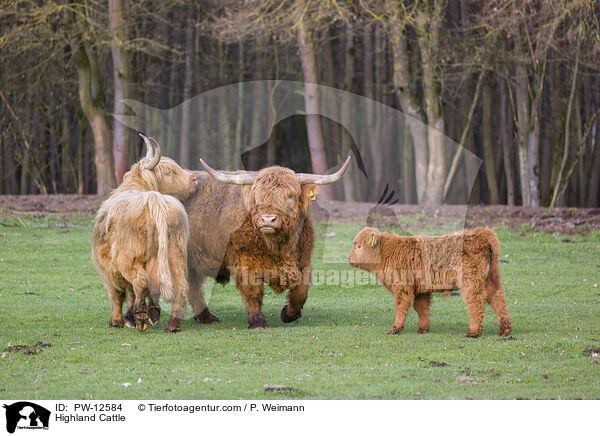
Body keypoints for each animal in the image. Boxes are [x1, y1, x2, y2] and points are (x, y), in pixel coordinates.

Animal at [91, 135, 198, 332]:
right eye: (169, 172)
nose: (194, 180)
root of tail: (153, 198)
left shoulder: (107, 268)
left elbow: (119, 294)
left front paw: (118, 320)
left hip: (128, 259)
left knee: (140, 281)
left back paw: (140, 317)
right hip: (175, 255)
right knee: (179, 286)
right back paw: (171, 324)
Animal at [184, 155, 352, 328]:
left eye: (290, 195)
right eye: (258, 196)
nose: (267, 219)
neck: (280, 247)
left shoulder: (304, 261)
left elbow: (300, 292)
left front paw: (289, 314)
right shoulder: (245, 261)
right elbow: (253, 292)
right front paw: (257, 322)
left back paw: (206, 317)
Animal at [346, 227, 510, 338]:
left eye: (358, 246)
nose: (349, 259)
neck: (387, 252)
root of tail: (479, 234)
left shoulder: (403, 287)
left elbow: (401, 306)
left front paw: (396, 328)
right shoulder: (421, 289)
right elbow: (422, 308)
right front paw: (423, 329)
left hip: (471, 282)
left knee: (476, 303)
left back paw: (473, 331)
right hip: (491, 279)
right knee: (498, 298)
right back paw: (505, 329)